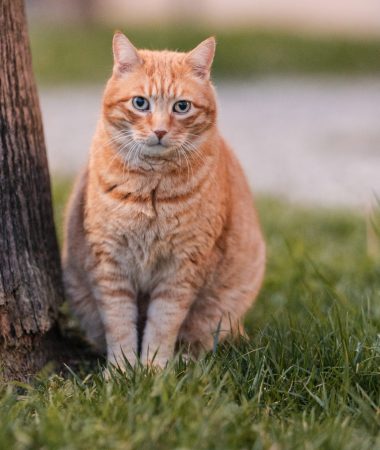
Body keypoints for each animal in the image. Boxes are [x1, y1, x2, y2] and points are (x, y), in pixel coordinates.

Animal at [62, 32, 266, 370]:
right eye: (140, 103)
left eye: (181, 107)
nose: (159, 130)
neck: (151, 188)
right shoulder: (109, 262)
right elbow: (119, 324)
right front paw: (121, 371)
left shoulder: (182, 267)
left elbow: (162, 325)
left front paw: (152, 370)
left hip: (223, 308)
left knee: (202, 340)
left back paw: (184, 360)